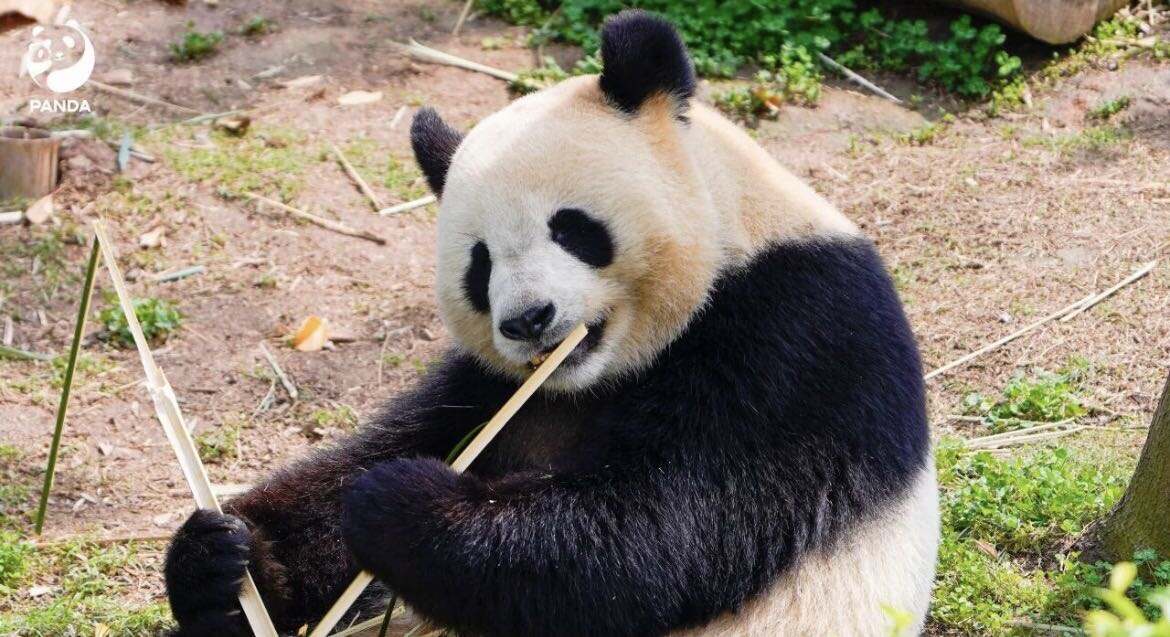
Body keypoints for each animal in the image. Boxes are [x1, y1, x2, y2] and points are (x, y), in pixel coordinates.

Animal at [164, 10, 939, 637]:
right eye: (479, 264)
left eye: (571, 228)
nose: (530, 319)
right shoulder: (491, 386)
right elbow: (400, 445)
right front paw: (226, 558)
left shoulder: (795, 336)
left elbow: (656, 534)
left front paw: (398, 504)